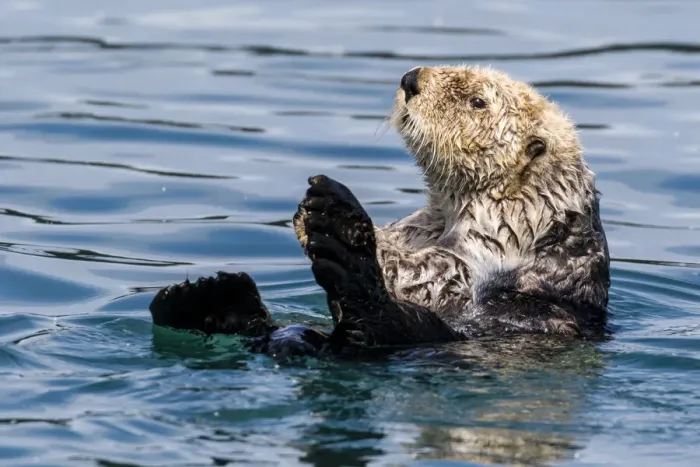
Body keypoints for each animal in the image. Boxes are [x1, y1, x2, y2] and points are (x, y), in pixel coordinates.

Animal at [148, 65, 610, 358]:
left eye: (478, 102)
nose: (411, 79)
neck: (448, 214)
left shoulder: (500, 236)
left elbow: (431, 275)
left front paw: (326, 224)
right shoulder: (421, 224)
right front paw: (307, 214)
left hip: (418, 332)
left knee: (375, 322)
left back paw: (338, 232)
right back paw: (203, 299)